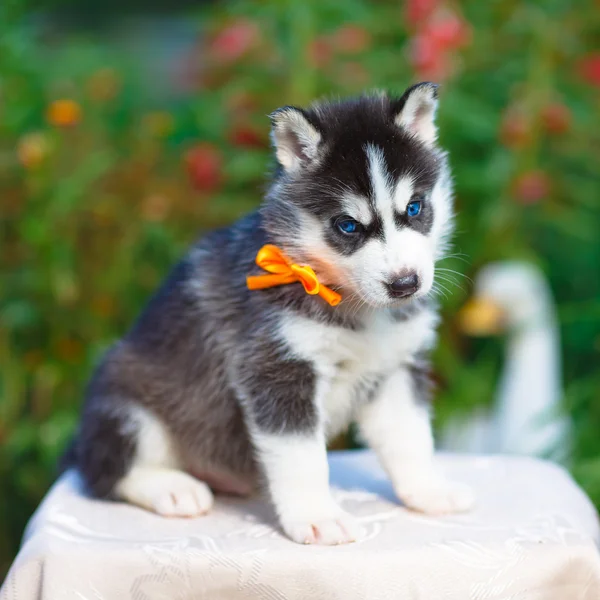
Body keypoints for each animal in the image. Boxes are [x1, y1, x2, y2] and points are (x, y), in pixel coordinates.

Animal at [68, 82, 474, 548]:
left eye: (414, 208)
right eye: (347, 226)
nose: (406, 284)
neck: (354, 307)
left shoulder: (396, 368)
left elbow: (411, 439)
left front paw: (429, 491)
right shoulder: (277, 368)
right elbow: (303, 458)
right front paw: (318, 517)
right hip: (125, 401)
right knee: (104, 471)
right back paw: (171, 488)